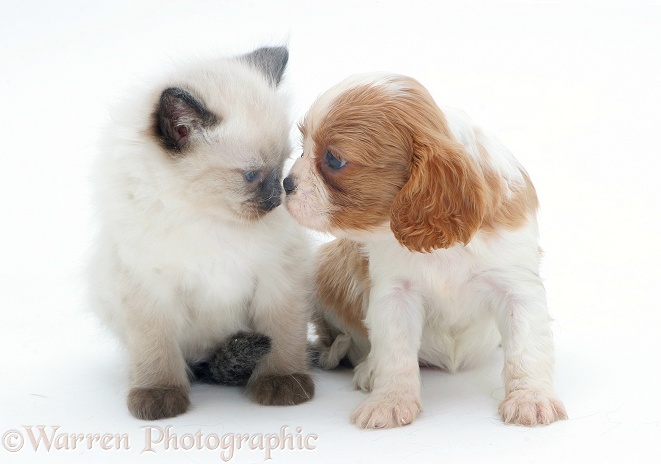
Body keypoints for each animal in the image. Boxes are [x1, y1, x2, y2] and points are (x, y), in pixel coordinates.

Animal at [89, 47, 314, 420]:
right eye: (251, 176)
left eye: (282, 166)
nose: (277, 199)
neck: (207, 217)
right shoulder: (150, 288)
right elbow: (156, 351)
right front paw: (159, 397)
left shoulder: (278, 276)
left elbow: (282, 335)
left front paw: (283, 383)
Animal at [282, 73, 564, 428]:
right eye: (302, 148)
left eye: (334, 159)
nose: (286, 184)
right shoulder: (395, 294)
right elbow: (395, 352)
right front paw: (390, 400)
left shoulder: (517, 286)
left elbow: (526, 347)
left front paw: (531, 398)